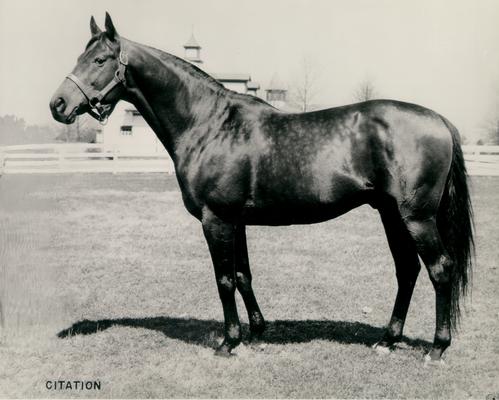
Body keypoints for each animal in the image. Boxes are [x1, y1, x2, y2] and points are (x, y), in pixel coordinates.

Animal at [51, 13, 476, 362]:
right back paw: (387, 340)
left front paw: (229, 342)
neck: (209, 124)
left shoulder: (216, 220)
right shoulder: (235, 221)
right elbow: (243, 276)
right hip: (391, 214)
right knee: (407, 270)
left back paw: (436, 348)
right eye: (80, 57)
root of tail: (440, 120)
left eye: (100, 60)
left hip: (416, 217)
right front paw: (256, 333)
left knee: (439, 269)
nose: (58, 104)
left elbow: (224, 280)